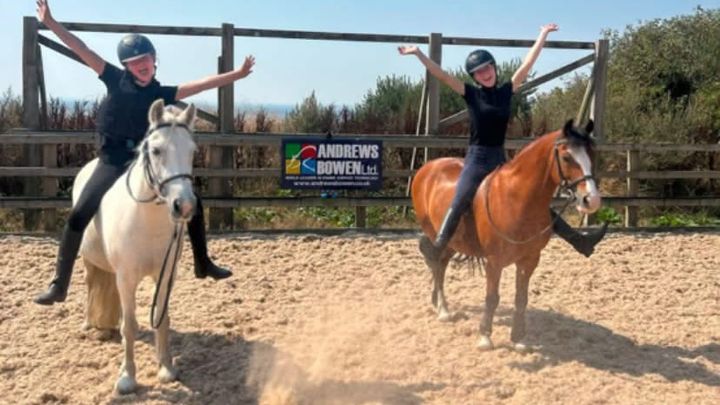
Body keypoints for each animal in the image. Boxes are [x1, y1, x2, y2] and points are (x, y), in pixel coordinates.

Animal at [78, 99, 197, 394]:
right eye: (156, 150)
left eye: (192, 151)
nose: (184, 206)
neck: (146, 220)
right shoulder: (126, 276)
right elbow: (131, 328)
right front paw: (127, 378)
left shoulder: (165, 275)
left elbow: (161, 319)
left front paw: (166, 368)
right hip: (90, 261)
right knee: (90, 284)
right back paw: (87, 323)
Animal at [411, 119, 601, 351]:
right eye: (566, 157)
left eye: (592, 154)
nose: (591, 200)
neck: (517, 198)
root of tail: (427, 168)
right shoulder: (495, 261)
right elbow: (492, 297)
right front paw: (485, 337)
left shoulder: (529, 259)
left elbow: (521, 298)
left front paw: (519, 339)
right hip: (437, 235)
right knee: (437, 265)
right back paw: (444, 311)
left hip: (453, 243)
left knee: (441, 265)